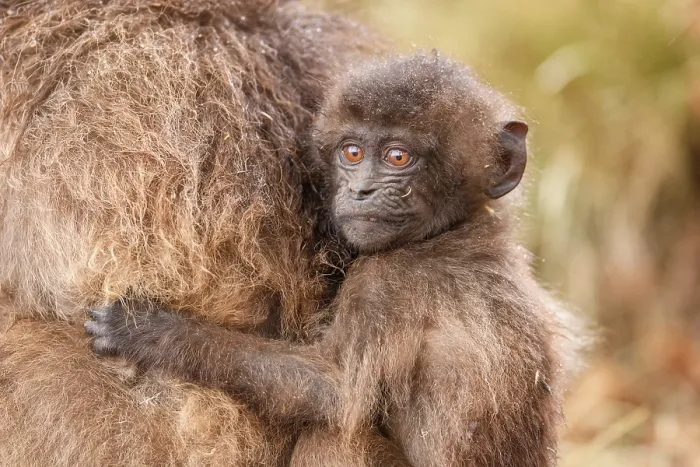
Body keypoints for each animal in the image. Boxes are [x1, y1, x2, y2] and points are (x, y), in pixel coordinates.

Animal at [86, 53, 584, 467]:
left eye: (397, 157)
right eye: (352, 153)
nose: (361, 190)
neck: (455, 230)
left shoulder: (387, 281)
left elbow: (334, 391)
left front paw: (154, 333)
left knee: (336, 437)